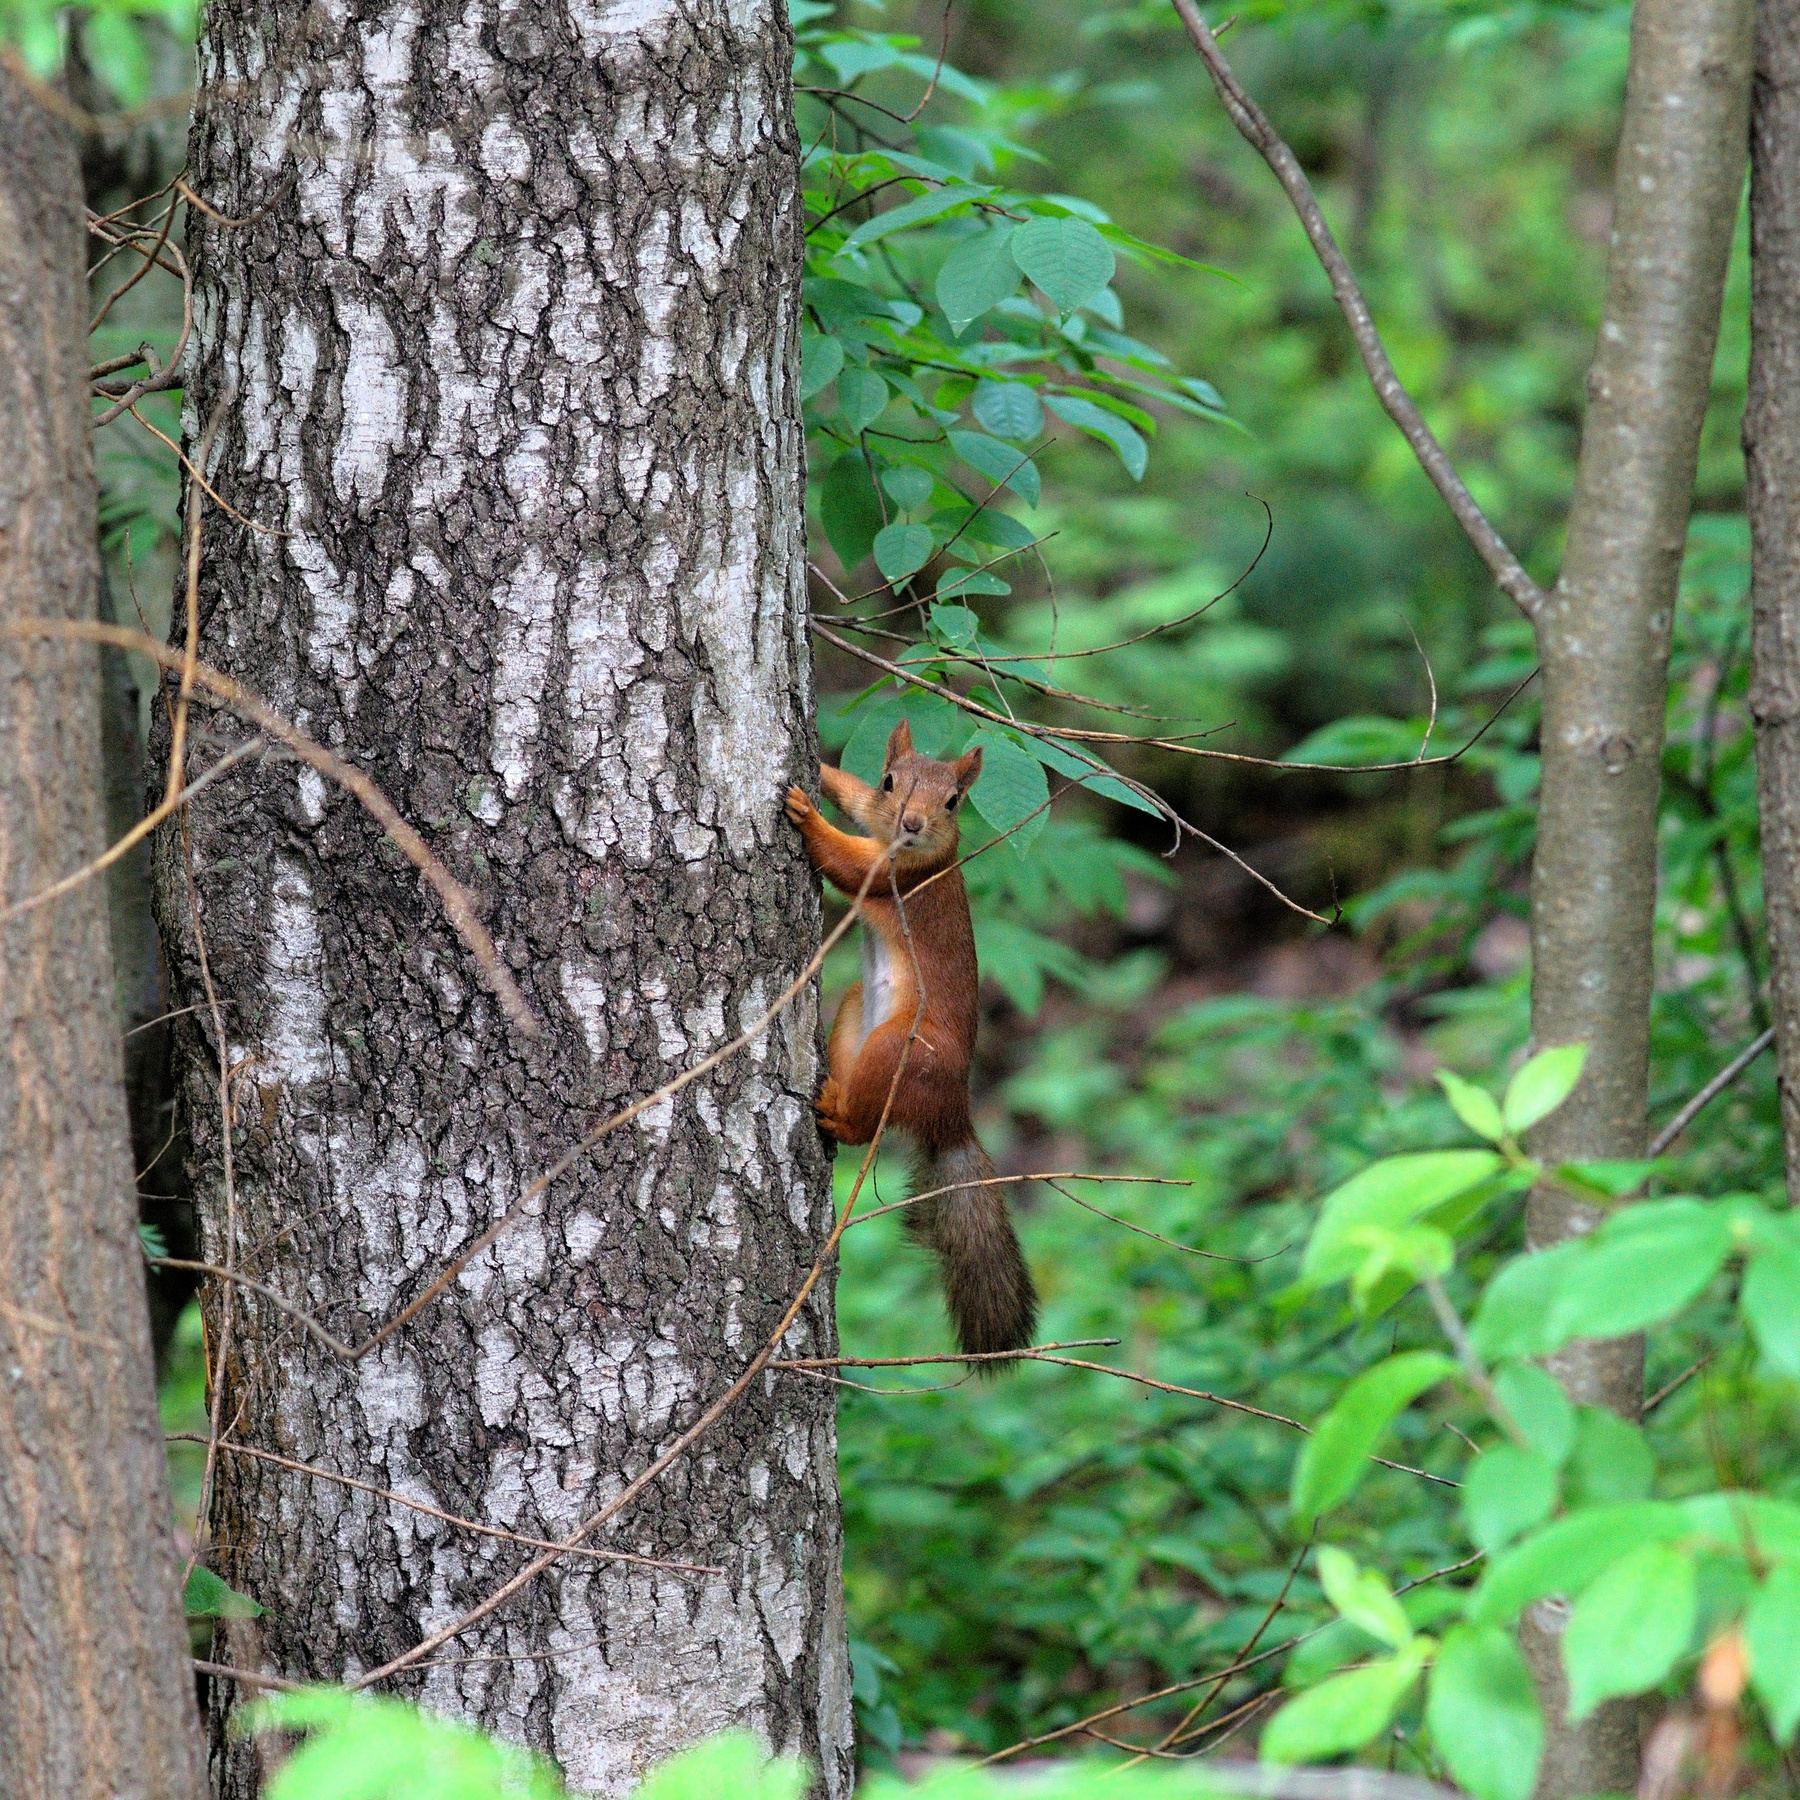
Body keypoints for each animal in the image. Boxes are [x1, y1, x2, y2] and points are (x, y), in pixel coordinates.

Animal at [785, 719, 1039, 1364]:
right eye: (889, 780)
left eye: (954, 801)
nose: (913, 823)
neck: (915, 849)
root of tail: (952, 1114)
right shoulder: (874, 818)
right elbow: (852, 799)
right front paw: (820, 773)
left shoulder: (899, 873)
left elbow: (851, 866)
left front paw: (807, 815)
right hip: (856, 1016)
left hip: (898, 1048)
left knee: (865, 1129)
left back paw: (834, 1113)